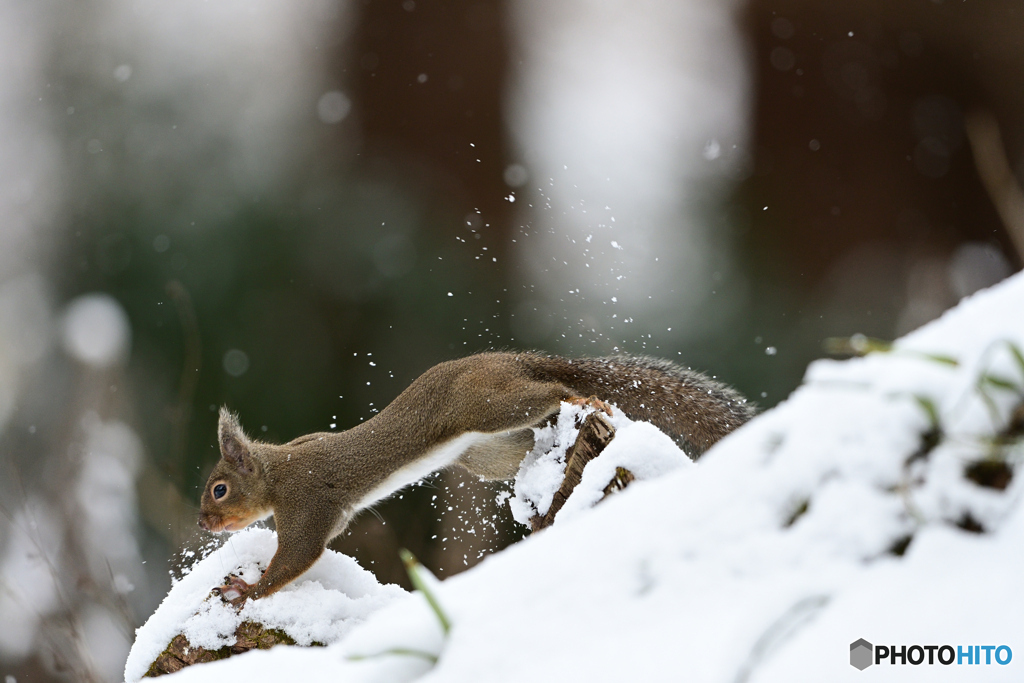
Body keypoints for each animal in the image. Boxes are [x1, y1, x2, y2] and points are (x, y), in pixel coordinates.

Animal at [195, 356, 753, 602]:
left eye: (219, 489)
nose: (203, 523)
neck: (277, 472)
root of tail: (508, 359)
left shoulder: (307, 502)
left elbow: (298, 556)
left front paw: (247, 591)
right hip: (486, 450)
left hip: (487, 405)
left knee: (553, 389)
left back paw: (579, 398)